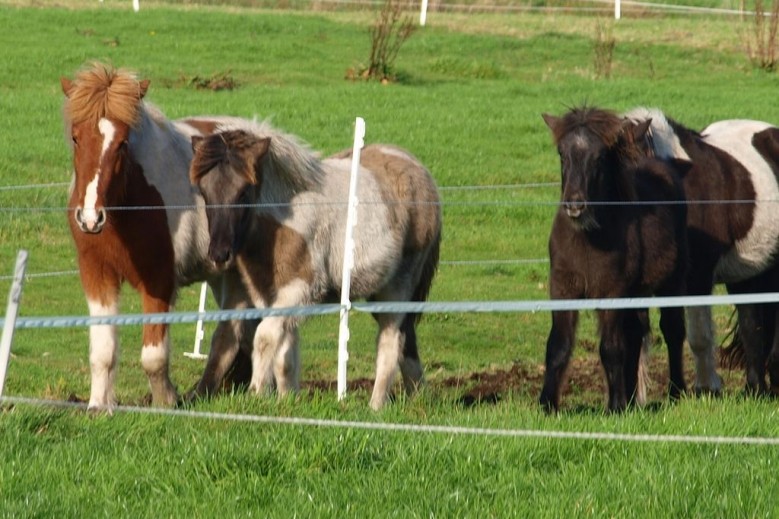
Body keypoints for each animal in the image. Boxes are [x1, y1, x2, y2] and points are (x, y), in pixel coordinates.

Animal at [61, 62, 258, 410]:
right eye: (75, 137)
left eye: (122, 143)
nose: (90, 218)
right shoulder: (97, 274)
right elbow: (103, 352)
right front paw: (99, 406)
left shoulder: (158, 280)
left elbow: (153, 356)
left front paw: (165, 401)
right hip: (225, 274)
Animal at [189, 121, 442, 410]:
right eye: (205, 192)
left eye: (243, 192)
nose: (219, 254)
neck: (283, 222)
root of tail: (419, 171)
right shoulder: (269, 295)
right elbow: (285, 352)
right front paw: (287, 401)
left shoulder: (302, 288)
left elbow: (265, 337)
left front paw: (257, 395)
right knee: (407, 338)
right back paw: (419, 396)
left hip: (399, 286)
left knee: (391, 341)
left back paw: (376, 406)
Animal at [540, 106, 692, 414]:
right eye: (562, 153)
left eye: (599, 156)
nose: (575, 205)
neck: (587, 239)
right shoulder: (562, 288)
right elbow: (558, 345)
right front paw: (547, 404)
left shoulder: (610, 292)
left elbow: (610, 347)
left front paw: (615, 406)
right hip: (636, 292)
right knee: (635, 335)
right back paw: (633, 399)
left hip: (672, 282)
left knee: (672, 330)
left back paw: (674, 392)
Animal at [624, 107, 779, 396]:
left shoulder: (697, 277)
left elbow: (697, 335)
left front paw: (707, 388)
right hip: (747, 272)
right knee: (753, 324)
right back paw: (756, 387)